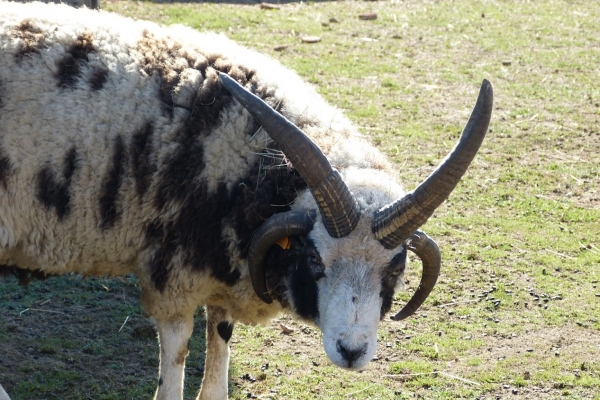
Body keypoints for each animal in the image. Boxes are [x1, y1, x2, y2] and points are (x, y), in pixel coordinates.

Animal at [0, 3, 492, 400]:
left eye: (395, 267)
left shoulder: (221, 270)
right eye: (315, 259)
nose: (351, 351)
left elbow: (219, 348)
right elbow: (176, 359)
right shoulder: (172, 273)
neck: (253, 167)